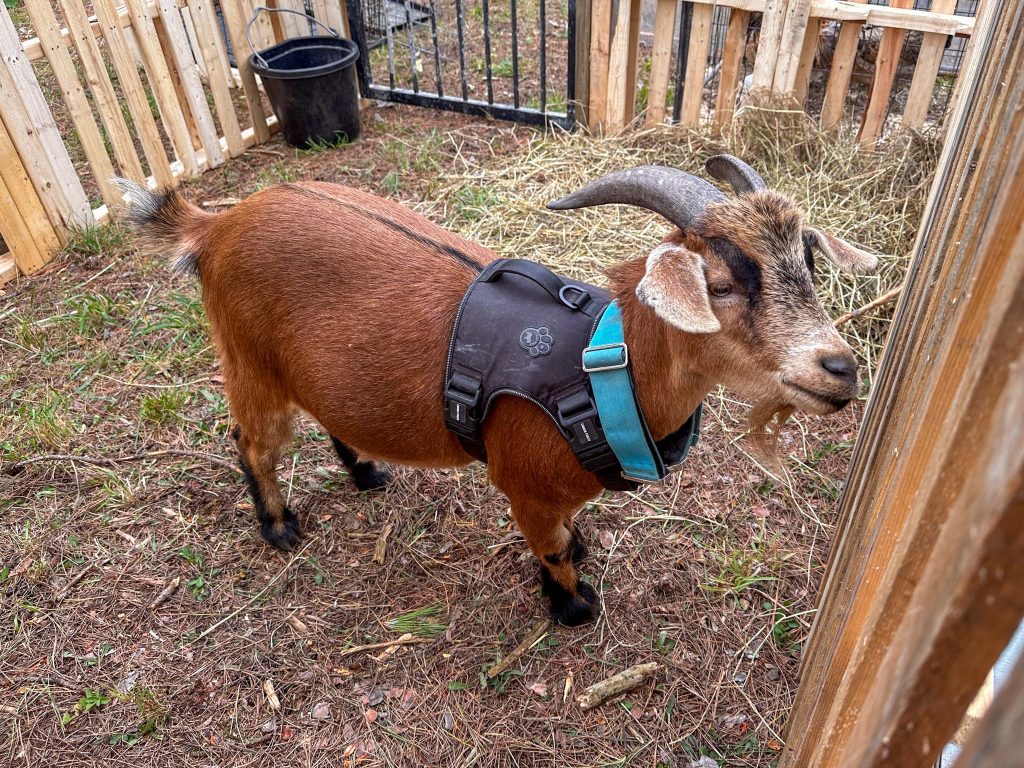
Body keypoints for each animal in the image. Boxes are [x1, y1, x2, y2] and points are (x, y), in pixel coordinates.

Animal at [119, 156, 876, 626]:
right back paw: (279, 527)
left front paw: (583, 557)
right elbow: (552, 549)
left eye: (808, 263)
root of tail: (217, 223)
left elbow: (570, 535)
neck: (598, 367)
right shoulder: (527, 485)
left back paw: (366, 472)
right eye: (719, 283)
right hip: (247, 358)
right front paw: (574, 607)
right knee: (252, 441)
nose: (840, 368)